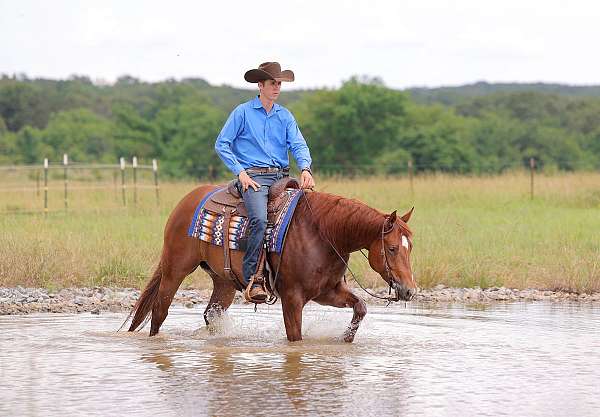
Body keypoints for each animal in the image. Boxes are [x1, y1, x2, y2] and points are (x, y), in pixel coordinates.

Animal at [126, 184, 418, 342]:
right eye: (392, 248)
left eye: (410, 247)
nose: (409, 291)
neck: (322, 232)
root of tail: (187, 200)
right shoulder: (292, 297)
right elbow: (295, 336)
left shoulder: (327, 292)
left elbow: (360, 307)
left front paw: (345, 339)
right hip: (175, 269)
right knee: (159, 310)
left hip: (223, 281)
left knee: (212, 314)